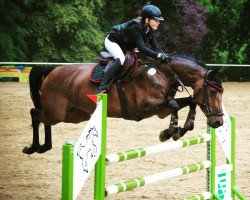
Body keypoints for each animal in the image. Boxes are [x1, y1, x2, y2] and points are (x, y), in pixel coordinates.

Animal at [22, 52, 224, 154]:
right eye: (213, 91)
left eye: (221, 91)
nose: (218, 122)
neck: (163, 74)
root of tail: (52, 70)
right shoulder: (145, 108)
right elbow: (176, 105)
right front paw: (169, 132)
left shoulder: (161, 109)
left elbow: (190, 101)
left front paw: (182, 128)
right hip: (57, 112)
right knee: (35, 113)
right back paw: (34, 147)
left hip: (74, 115)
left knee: (42, 117)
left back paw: (44, 147)